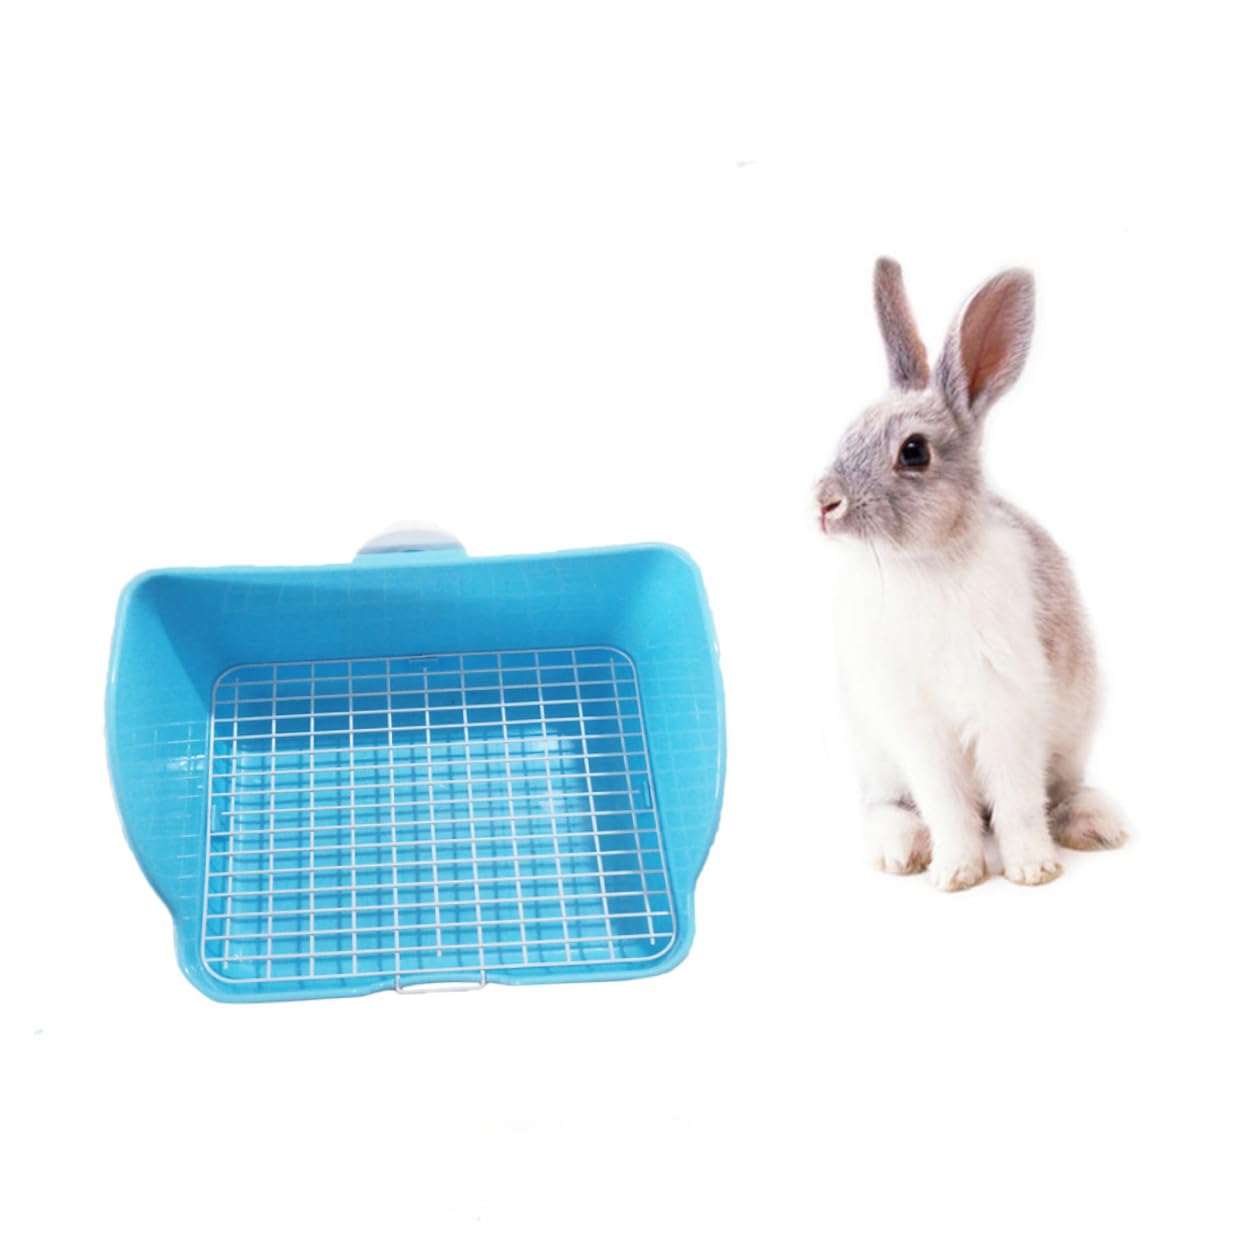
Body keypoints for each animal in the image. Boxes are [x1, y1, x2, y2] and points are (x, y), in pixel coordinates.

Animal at [815, 258, 1126, 889]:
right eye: (848, 433)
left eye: (914, 452)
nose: (822, 503)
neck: (924, 563)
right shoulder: (918, 727)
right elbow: (946, 803)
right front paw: (955, 873)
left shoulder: (1007, 709)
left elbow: (1016, 798)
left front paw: (1032, 869)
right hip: (875, 757)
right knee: (885, 806)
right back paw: (900, 851)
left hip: (1071, 743)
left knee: (1060, 791)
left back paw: (1095, 825)